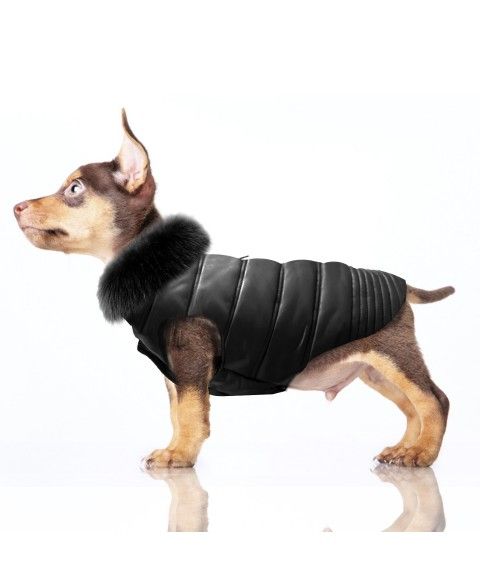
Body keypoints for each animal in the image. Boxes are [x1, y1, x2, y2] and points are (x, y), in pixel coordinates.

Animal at [14, 110, 454, 469]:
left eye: (74, 189)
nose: (16, 207)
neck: (157, 269)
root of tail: (402, 287)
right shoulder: (173, 370)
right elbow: (177, 413)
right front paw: (173, 449)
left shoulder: (190, 360)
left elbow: (192, 414)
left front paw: (180, 456)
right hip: (374, 370)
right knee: (413, 408)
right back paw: (405, 449)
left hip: (394, 358)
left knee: (434, 400)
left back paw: (422, 454)